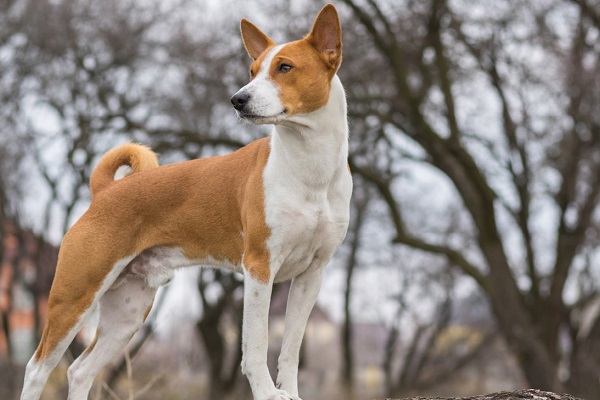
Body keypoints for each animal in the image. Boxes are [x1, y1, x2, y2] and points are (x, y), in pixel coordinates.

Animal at [19, 3, 352, 400]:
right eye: (252, 71)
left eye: (284, 67)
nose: (238, 99)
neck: (310, 170)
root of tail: (104, 191)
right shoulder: (260, 267)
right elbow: (256, 347)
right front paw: (269, 394)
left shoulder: (311, 274)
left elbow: (291, 349)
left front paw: (290, 393)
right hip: (74, 296)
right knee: (37, 369)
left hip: (129, 309)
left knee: (80, 370)